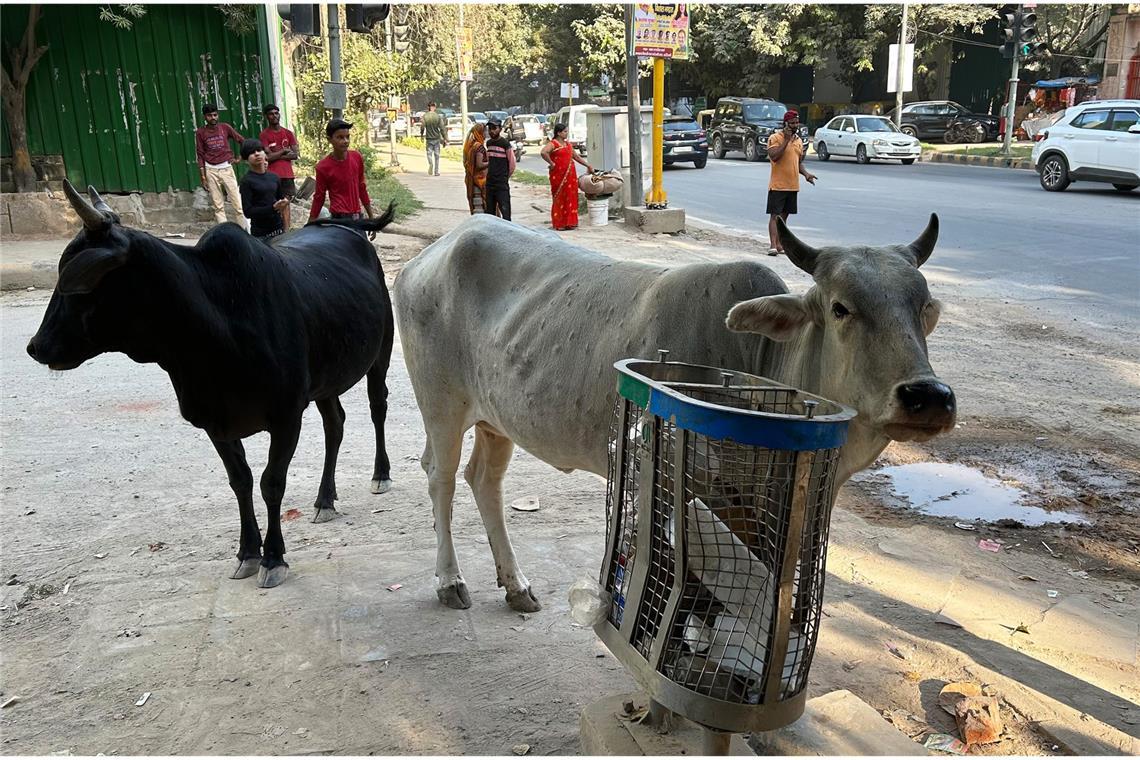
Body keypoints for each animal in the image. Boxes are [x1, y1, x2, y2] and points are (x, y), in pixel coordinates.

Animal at [26, 181, 397, 589]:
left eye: (78, 280)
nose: (36, 346)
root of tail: (345, 226)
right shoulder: (214, 421)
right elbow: (241, 481)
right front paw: (247, 552)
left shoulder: (286, 416)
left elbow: (271, 483)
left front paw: (273, 558)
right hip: (325, 381)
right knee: (335, 425)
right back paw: (325, 499)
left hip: (381, 353)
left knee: (378, 407)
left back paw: (380, 474)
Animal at [394, 213, 956, 612]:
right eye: (841, 308)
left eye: (924, 308)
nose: (927, 396)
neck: (760, 360)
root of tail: (437, 249)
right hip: (442, 406)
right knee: (441, 476)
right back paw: (450, 580)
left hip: (498, 419)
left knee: (484, 480)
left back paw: (515, 585)